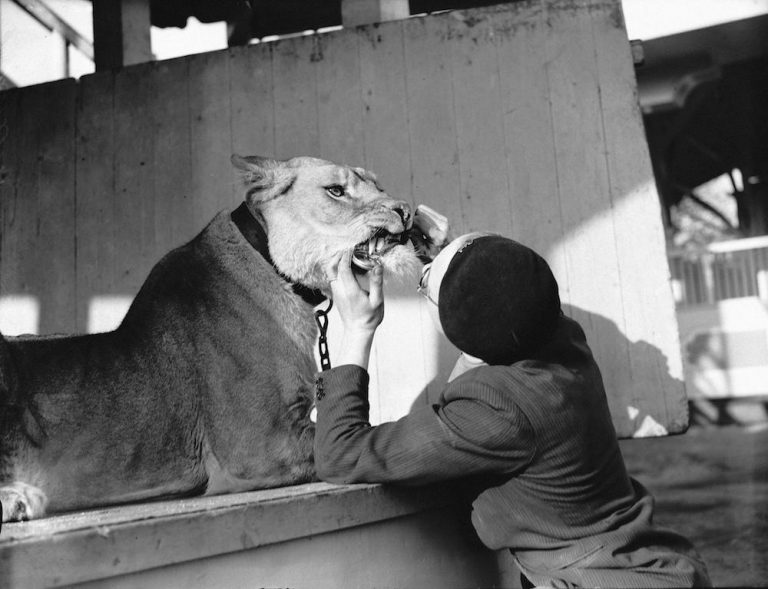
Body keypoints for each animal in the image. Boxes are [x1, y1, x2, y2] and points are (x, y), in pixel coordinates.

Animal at [0, 154, 417, 523]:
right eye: (336, 190)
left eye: (378, 185)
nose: (406, 210)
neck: (282, 278)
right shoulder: (257, 446)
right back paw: (17, 499)